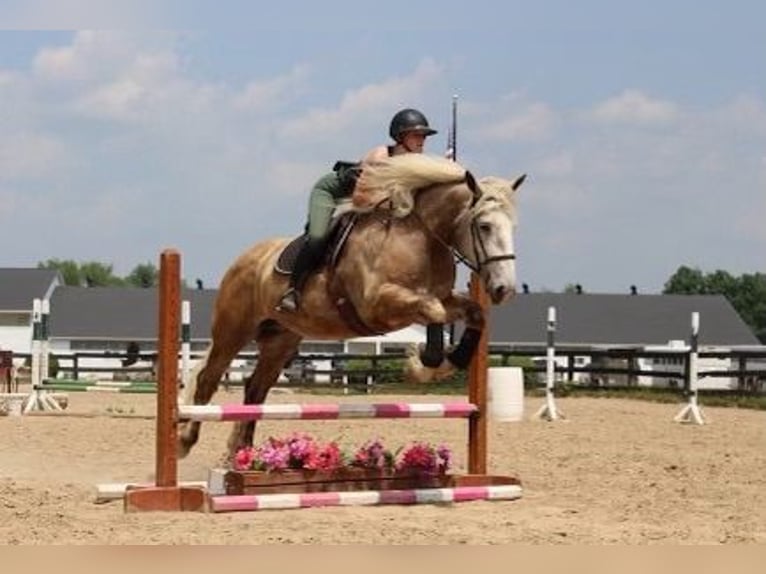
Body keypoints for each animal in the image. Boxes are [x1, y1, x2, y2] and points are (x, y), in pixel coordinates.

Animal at [180, 154, 528, 464]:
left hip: (282, 339)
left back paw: (239, 454)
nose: (505, 289)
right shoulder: (378, 304)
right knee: (209, 379)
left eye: (513, 227)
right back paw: (186, 441)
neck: (421, 236)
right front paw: (424, 364)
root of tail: (245, 258)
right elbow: (434, 311)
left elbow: (472, 313)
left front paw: (448, 361)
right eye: (484, 226)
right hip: (233, 330)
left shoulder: (441, 298)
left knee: (255, 389)